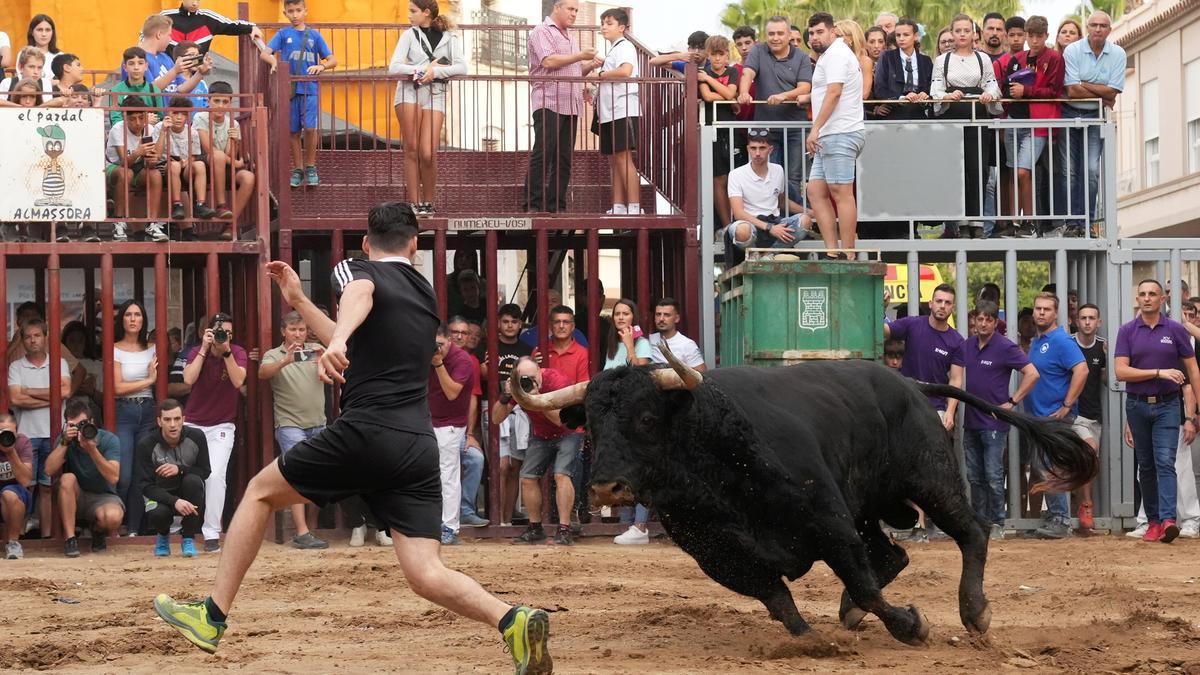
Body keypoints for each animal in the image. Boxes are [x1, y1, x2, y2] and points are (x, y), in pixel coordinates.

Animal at [513, 357, 1099, 648]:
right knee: (893, 554)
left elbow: (859, 577)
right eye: (590, 422)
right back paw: (849, 614)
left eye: (646, 417)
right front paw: (809, 639)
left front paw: (911, 626)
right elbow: (776, 596)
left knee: (971, 531)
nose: (606, 489)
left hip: (928, 476)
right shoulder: (717, 553)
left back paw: (974, 612)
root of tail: (910, 383)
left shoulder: (828, 520)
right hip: (872, 507)